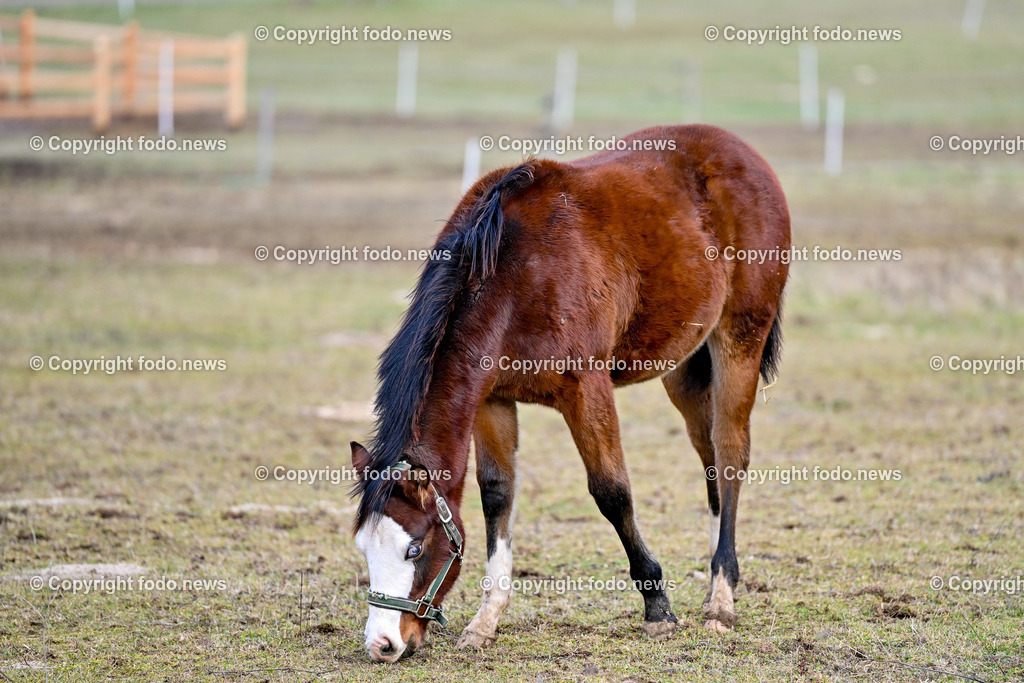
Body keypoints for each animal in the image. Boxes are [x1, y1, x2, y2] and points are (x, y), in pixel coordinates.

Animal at [351, 124, 790, 662]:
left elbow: (612, 493)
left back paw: (722, 597)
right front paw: (486, 620)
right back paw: (713, 585)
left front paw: (658, 607)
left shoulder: (587, 390)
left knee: (729, 454)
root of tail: (742, 153)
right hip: (685, 366)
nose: (383, 643)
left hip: (739, 338)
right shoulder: (491, 399)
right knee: (708, 458)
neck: (512, 275)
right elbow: (497, 494)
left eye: (413, 548)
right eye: (363, 548)